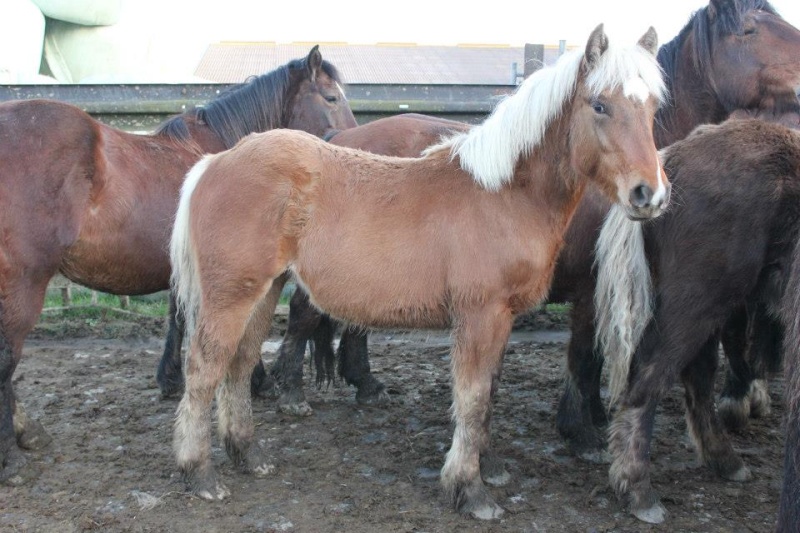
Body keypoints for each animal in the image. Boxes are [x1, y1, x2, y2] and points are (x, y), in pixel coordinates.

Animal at [0, 44, 356, 482]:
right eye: (331, 97)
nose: (349, 143)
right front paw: (256, 382)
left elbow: (178, 320)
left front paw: (169, 378)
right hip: (24, 281)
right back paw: (13, 453)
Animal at [170, 25, 668, 516]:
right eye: (599, 105)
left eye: (652, 107)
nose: (650, 194)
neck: (504, 193)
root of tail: (214, 163)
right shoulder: (480, 315)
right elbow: (472, 398)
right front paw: (470, 490)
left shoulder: (502, 319)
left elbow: (489, 394)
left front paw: (490, 468)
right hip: (232, 295)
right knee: (204, 369)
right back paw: (201, 475)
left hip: (265, 289)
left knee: (238, 364)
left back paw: (248, 455)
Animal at [592, 117, 800, 524]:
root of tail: (670, 162)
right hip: (698, 301)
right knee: (649, 380)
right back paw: (638, 490)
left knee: (695, 377)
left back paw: (725, 460)